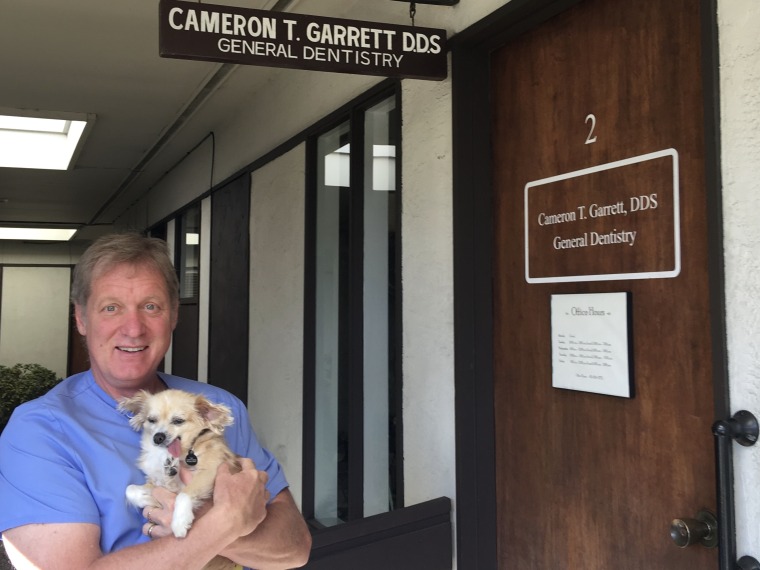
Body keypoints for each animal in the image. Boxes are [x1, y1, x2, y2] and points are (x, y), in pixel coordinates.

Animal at [119, 388, 240, 552]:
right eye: (151, 420)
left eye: (178, 421)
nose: (158, 437)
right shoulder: (155, 482)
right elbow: (130, 489)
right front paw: (147, 499)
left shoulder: (209, 471)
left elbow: (184, 494)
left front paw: (180, 522)